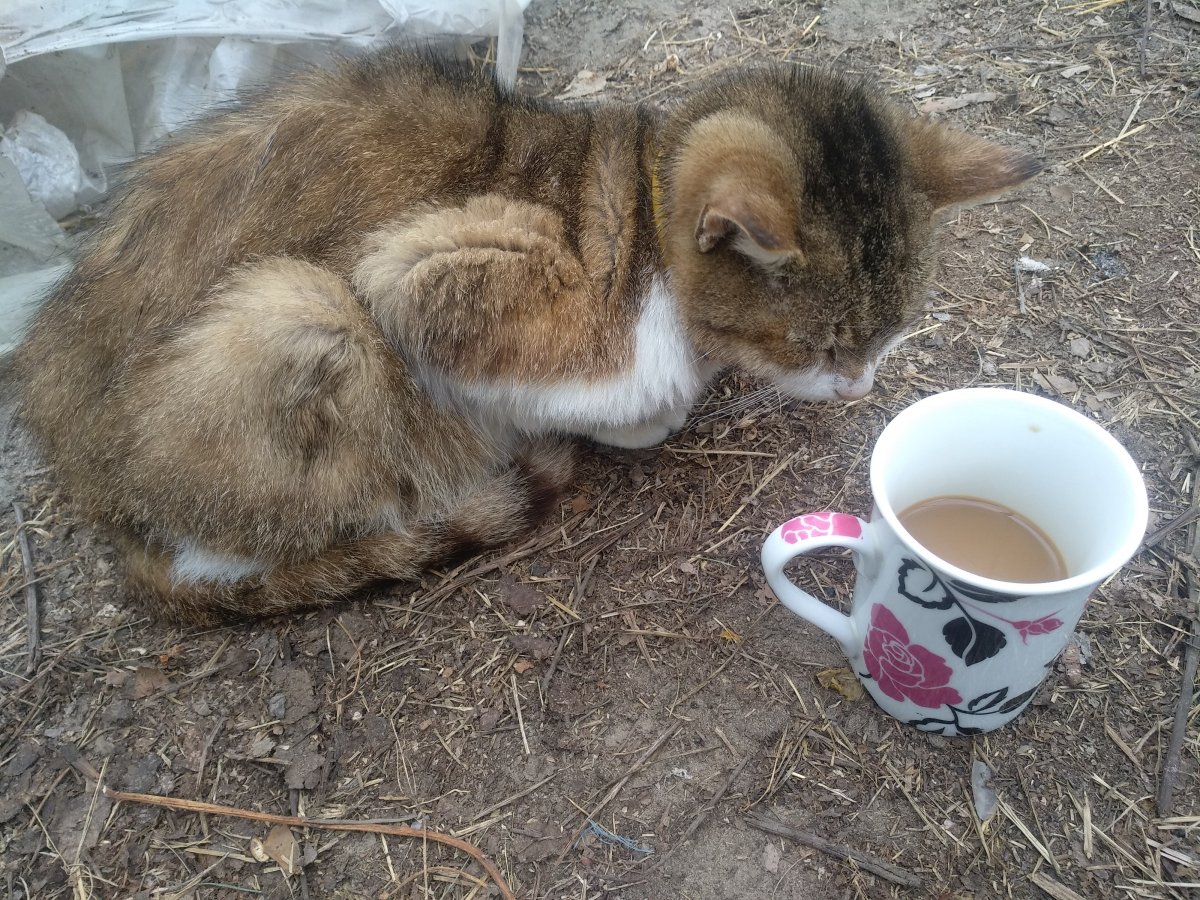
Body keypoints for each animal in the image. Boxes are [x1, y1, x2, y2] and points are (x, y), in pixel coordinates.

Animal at [12, 49, 1039, 625]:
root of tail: (93, 493)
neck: (641, 206)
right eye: (823, 344)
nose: (861, 387)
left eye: (890, 337)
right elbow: (543, 393)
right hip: (294, 308)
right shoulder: (418, 275)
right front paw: (620, 424)